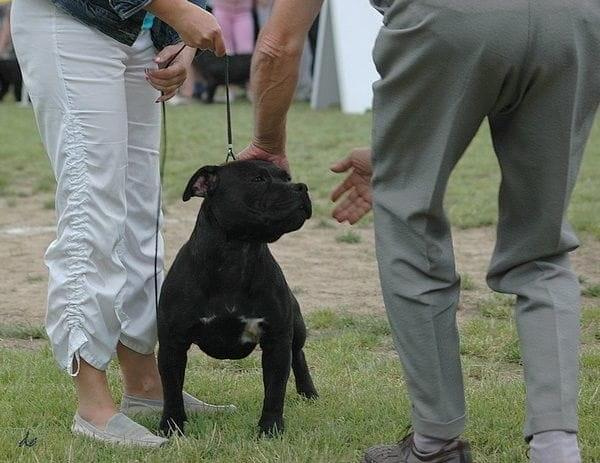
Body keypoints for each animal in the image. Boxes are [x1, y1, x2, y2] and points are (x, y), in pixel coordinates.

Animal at [158, 160, 318, 438]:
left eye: (287, 178)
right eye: (257, 179)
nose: (301, 186)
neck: (237, 254)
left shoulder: (276, 341)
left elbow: (274, 391)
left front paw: (270, 429)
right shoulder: (172, 343)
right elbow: (172, 390)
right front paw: (172, 426)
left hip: (296, 328)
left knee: (298, 353)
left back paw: (308, 392)